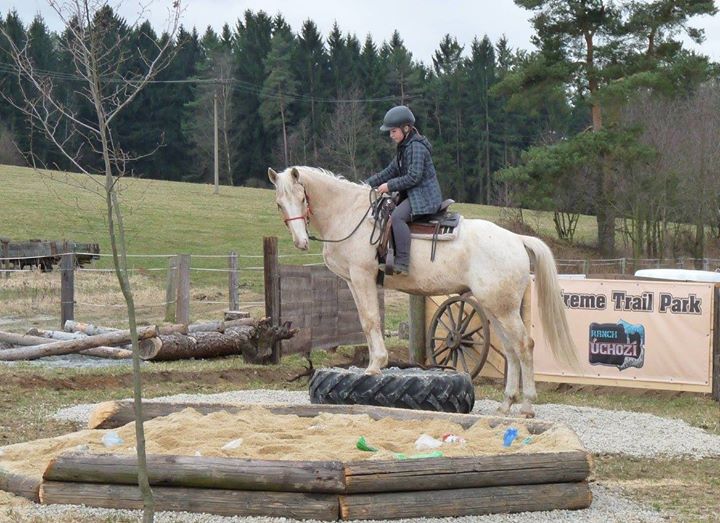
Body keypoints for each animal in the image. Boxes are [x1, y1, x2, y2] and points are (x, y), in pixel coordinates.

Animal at [268, 166, 576, 416]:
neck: (349, 215)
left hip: (504, 308)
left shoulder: (363, 277)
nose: (301, 242)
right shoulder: (352, 282)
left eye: (302, 198)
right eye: (279, 204)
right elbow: (365, 322)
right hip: (494, 307)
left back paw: (527, 405)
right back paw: (506, 403)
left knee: (524, 345)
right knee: (511, 350)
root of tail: (516, 239)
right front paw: (374, 361)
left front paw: (376, 365)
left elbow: (371, 319)